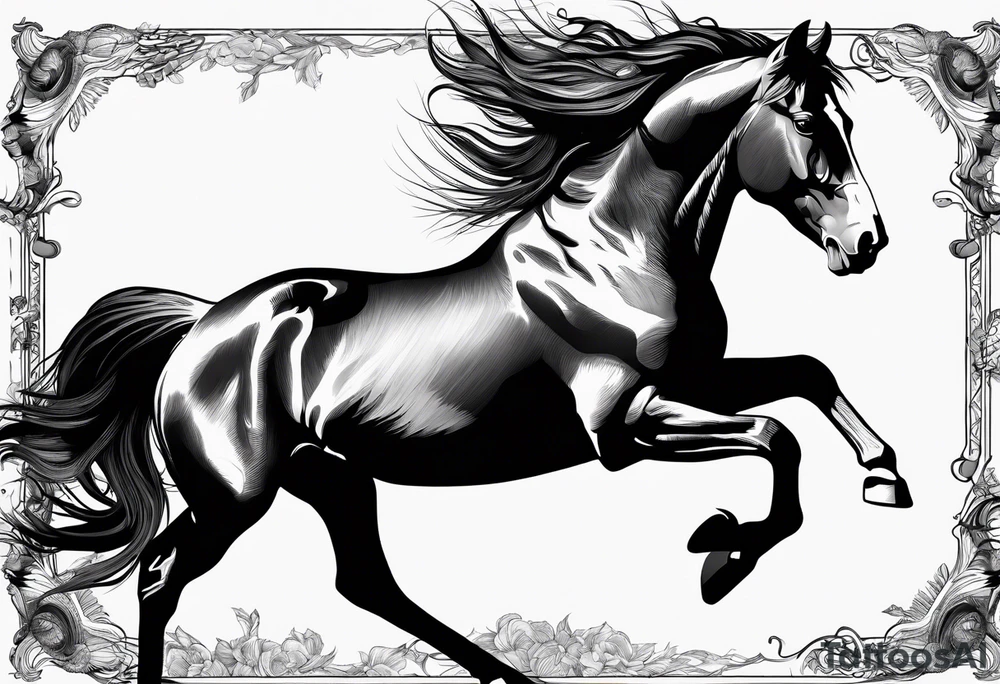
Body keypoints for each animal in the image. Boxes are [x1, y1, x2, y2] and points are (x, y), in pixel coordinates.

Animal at [0, 7, 909, 684]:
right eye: (807, 120)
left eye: (850, 119)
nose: (867, 242)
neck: (619, 248)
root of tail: (199, 328)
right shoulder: (623, 426)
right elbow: (777, 437)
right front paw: (721, 553)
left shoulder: (698, 377)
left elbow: (807, 376)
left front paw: (883, 477)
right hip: (237, 496)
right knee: (163, 575)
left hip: (329, 477)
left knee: (361, 581)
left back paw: (512, 678)